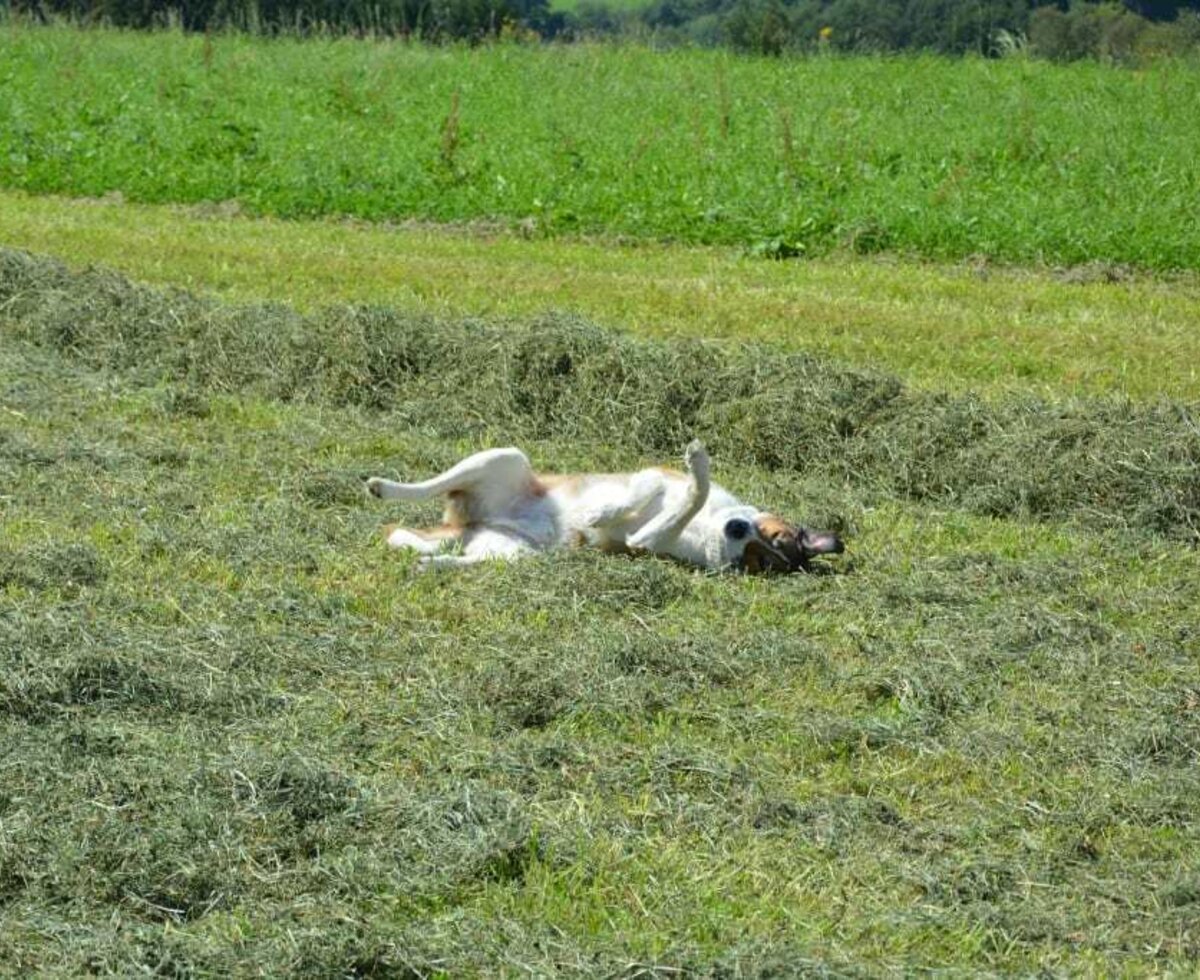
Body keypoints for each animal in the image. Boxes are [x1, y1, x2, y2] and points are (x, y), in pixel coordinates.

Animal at [364, 436, 844, 568]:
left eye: (758, 562)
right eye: (773, 536)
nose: (737, 530)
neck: (709, 527)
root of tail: (470, 524)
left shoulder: (644, 543)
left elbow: (682, 505)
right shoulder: (653, 476)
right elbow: (672, 490)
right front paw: (602, 512)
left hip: (514, 553)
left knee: (457, 559)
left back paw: (431, 563)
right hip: (504, 457)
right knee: (426, 488)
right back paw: (384, 488)